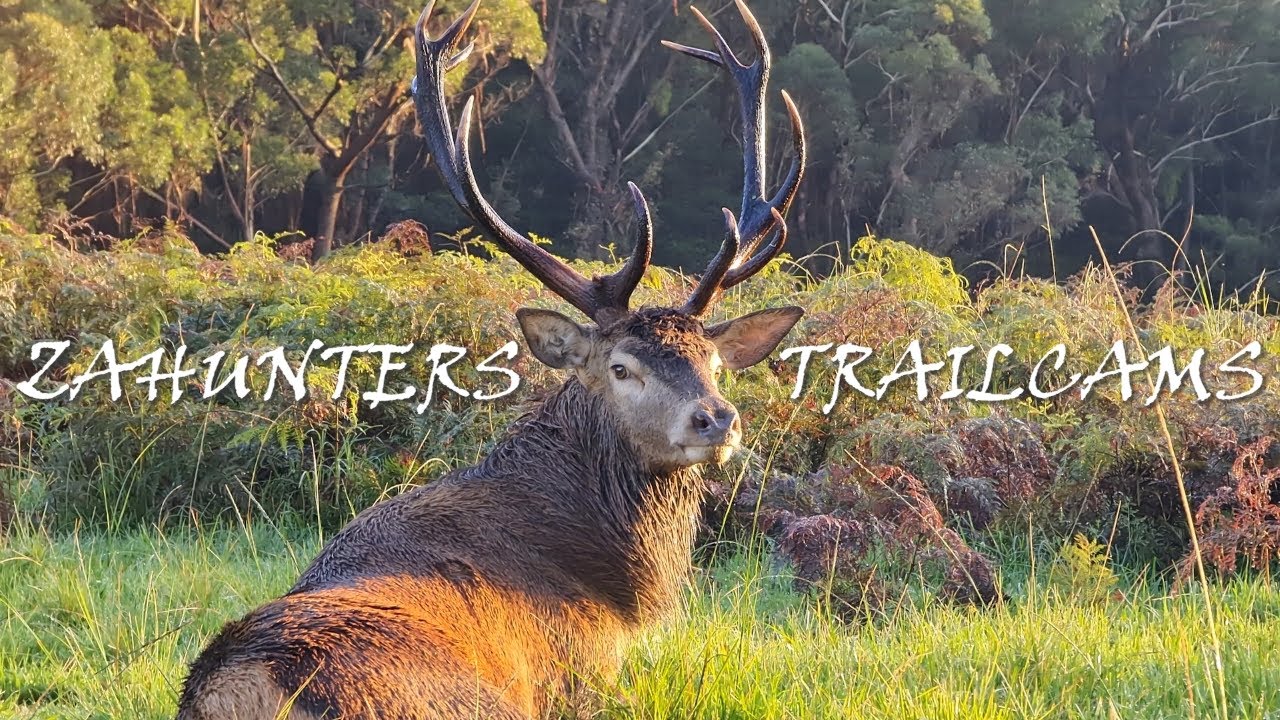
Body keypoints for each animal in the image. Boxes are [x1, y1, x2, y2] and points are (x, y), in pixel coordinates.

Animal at [176, 0, 805, 717]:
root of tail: (242, 686)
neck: (614, 579)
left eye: (715, 363)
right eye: (621, 367)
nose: (717, 419)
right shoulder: (582, 672)